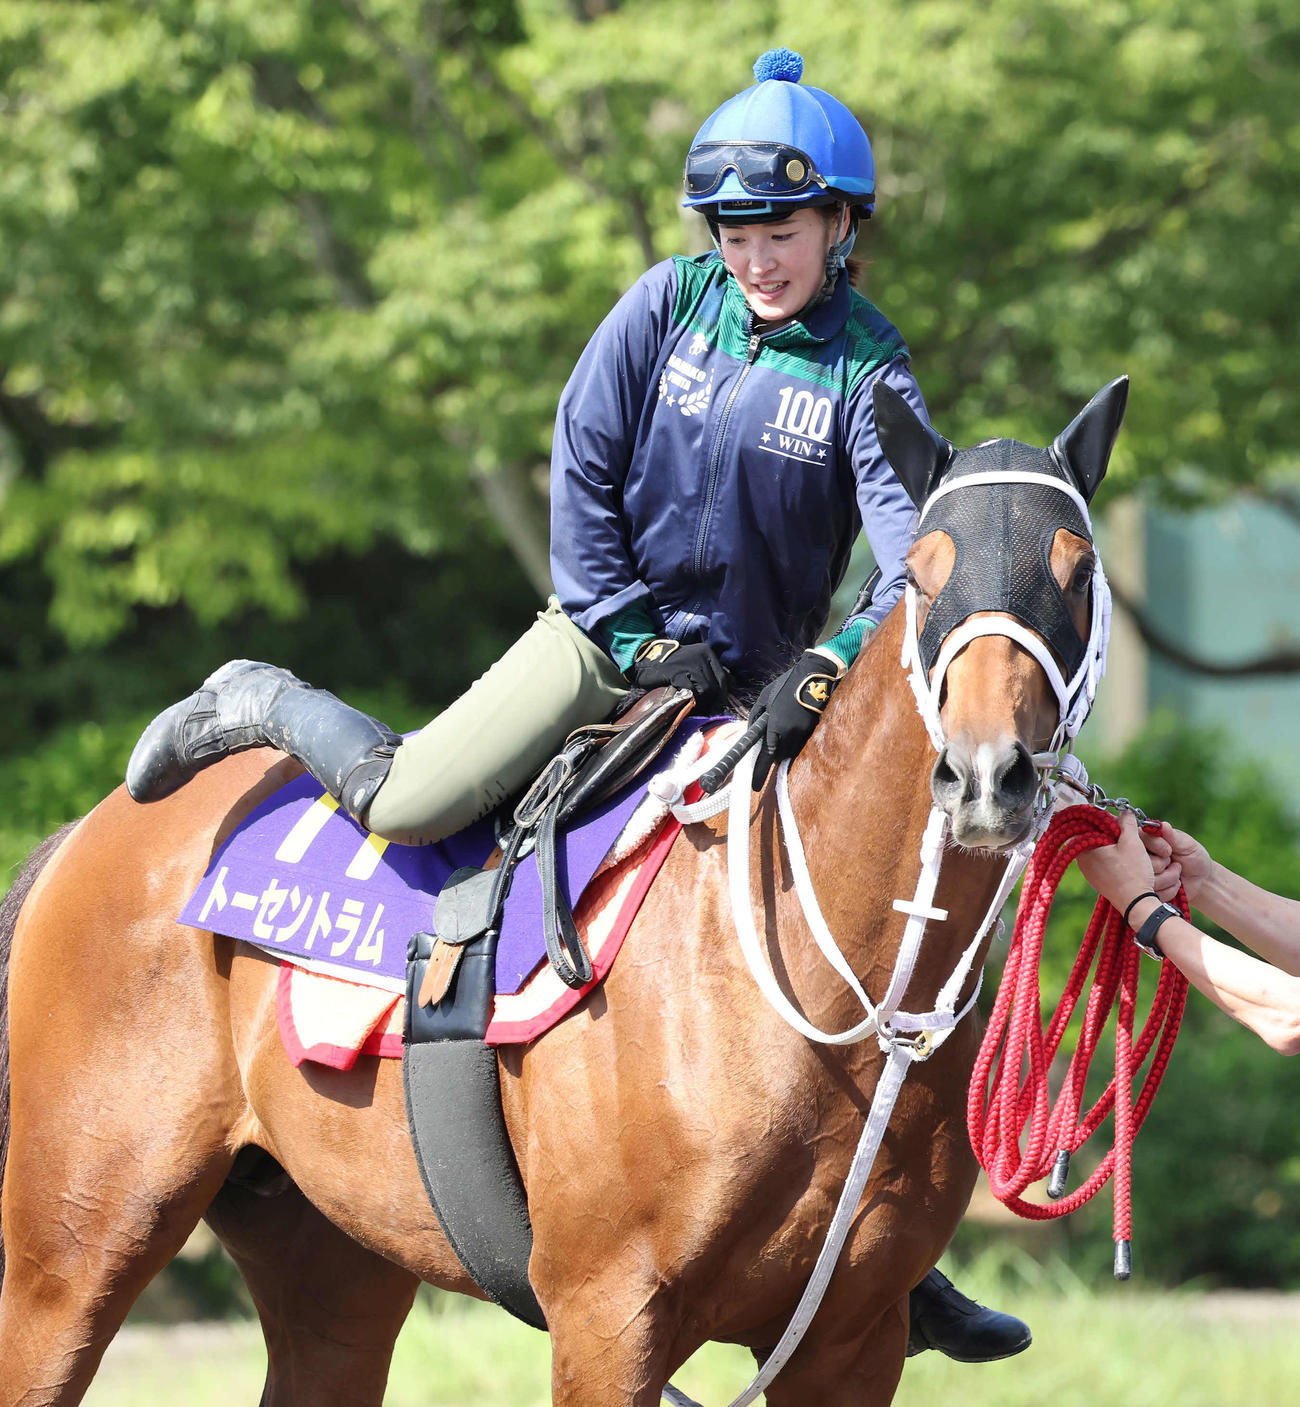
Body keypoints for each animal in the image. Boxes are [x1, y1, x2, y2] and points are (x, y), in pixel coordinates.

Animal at [0, 377, 1125, 1407]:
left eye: (1076, 571)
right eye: (926, 575)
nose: (986, 774)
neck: (811, 980)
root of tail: (83, 837)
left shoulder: (850, 1339)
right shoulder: (608, 1316)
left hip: (329, 1267)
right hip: (72, 1251)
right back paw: (210, 710)